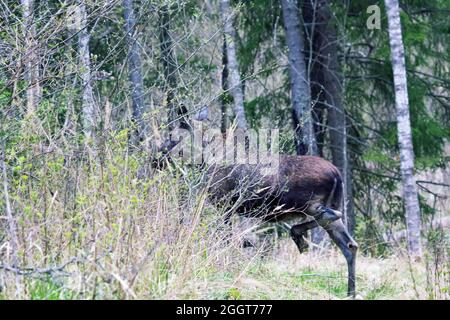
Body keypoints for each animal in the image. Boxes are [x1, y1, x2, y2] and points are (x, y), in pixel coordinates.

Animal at [155, 105, 358, 298]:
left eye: (172, 137)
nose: (155, 158)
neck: (205, 156)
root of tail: (337, 175)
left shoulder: (224, 204)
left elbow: (226, 239)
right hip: (324, 206)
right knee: (350, 245)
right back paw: (350, 291)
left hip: (310, 205)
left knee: (331, 217)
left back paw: (298, 236)